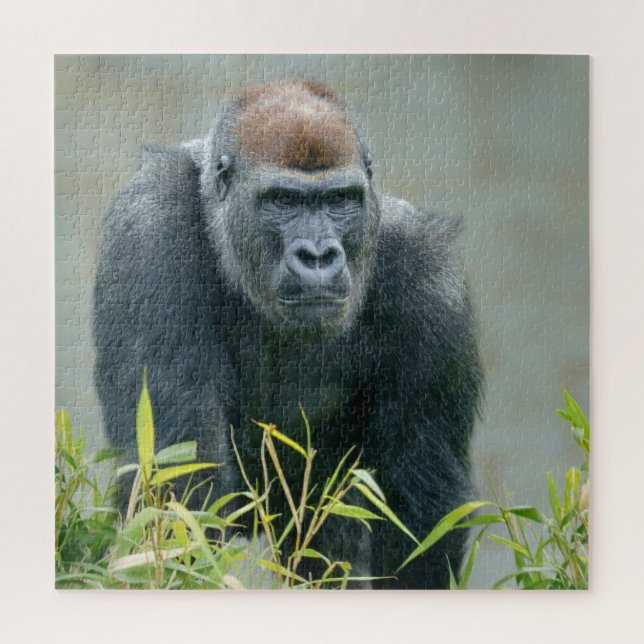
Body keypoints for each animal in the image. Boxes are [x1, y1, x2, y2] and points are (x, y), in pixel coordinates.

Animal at [93, 79, 482, 589]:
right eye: (283, 201)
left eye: (339, 200)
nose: (317, 255)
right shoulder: (148, 233)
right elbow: (179, 486)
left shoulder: (431, 278)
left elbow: (420, 513)